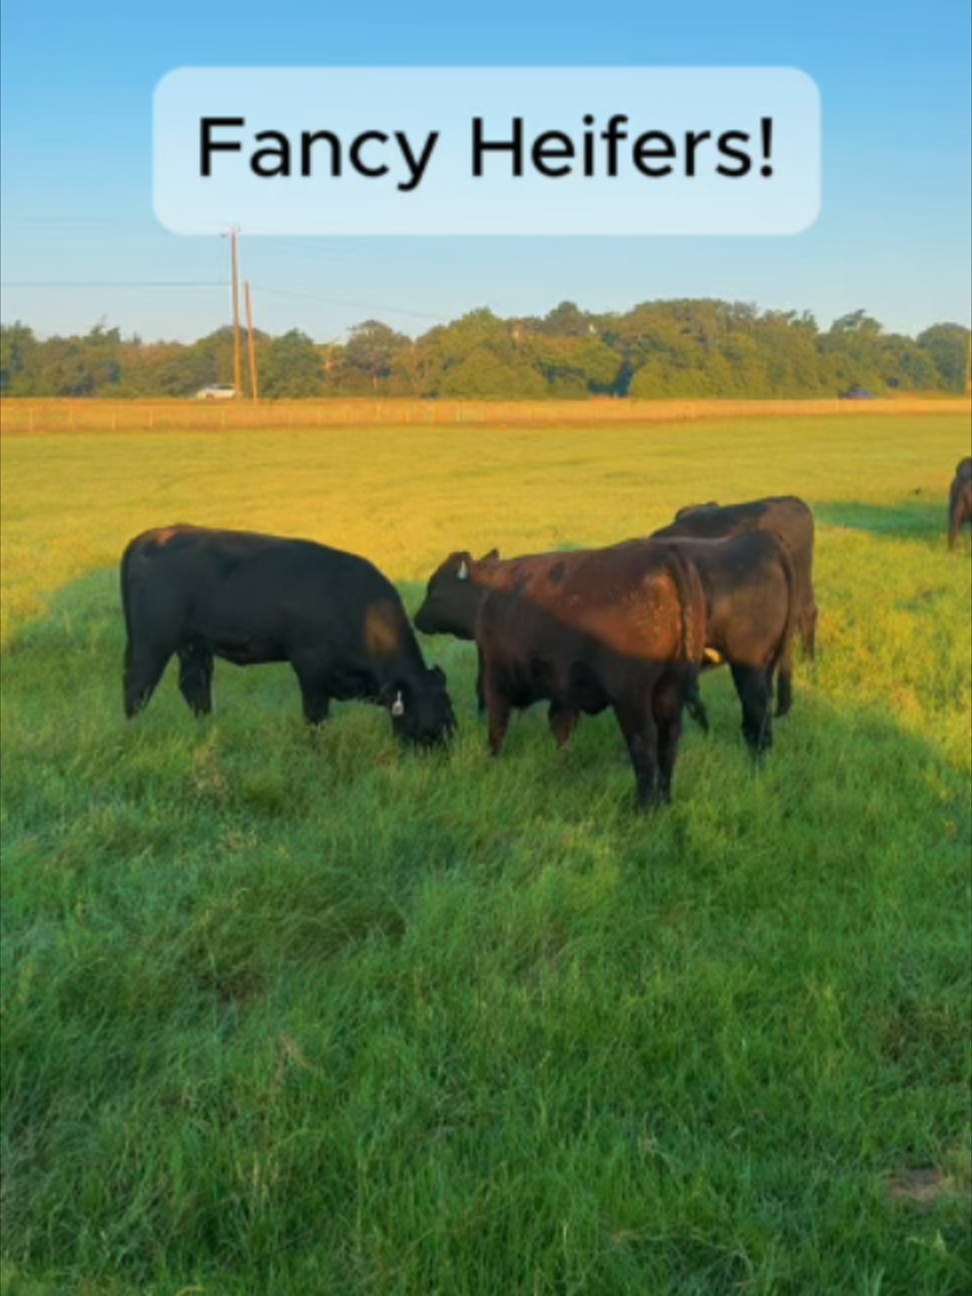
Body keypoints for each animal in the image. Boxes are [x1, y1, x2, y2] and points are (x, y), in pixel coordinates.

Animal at [120, 525, 456, 748]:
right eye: (438, 709)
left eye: (449, 705)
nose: (448, 741)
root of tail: (152, 536)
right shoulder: (310, 665)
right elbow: (316, 715)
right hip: (153, 640)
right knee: (138, 685)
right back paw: (133, 733)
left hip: (194, 644)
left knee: (194, 686)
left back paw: (209, 729)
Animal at [419, 542, 707, 810]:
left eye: (435, 589)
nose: (418, 618)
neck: (489, 594)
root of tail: (664, 554)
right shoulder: (565, 692)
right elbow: (560, 728)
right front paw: (564, 763)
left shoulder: (496, 682)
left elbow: (497, 725)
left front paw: (492, 759)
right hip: (670, 689)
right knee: (669, 739)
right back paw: (665, 800)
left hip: (631, 696)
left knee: (643, 741)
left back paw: (643, 807)